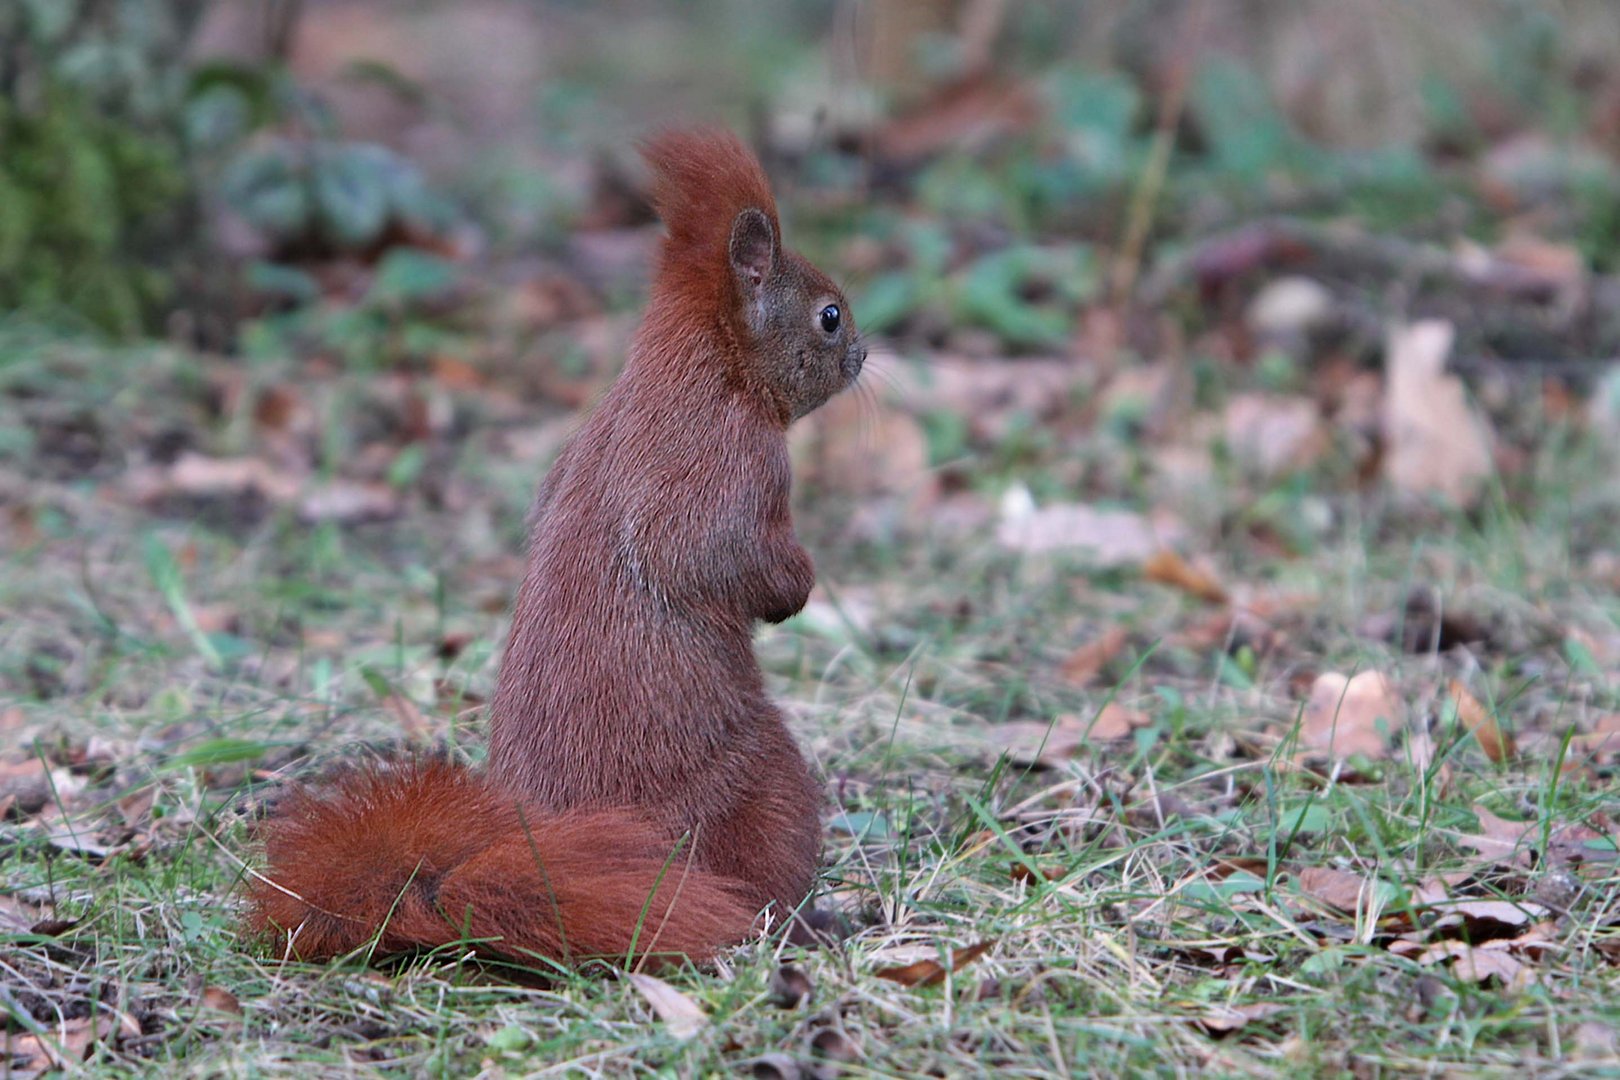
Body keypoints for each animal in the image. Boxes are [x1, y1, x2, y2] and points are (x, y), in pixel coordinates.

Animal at [246, 131, 868, 965]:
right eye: (829, 316)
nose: (863, 354)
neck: (697, 369)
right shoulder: (727, 463)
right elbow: (711, 553)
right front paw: (794, 593)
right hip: (769, 790)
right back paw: (805, 921)